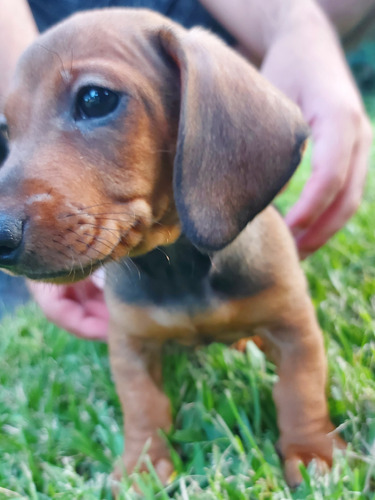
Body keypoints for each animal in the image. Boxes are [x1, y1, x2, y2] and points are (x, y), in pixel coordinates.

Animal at [0, 7, 346, 488]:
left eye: (95, 100)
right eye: (6, 130)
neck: (176, 264)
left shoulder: (294, 329)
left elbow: (301, 391)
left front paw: (314, 453)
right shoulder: (130, 346)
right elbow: (143, 405)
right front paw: (142, 465)